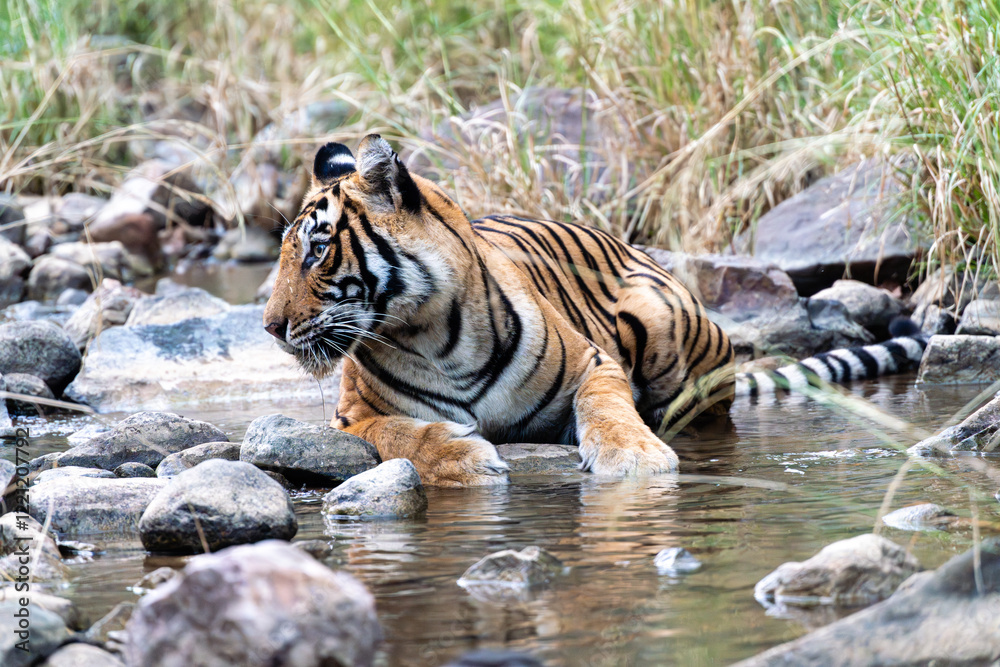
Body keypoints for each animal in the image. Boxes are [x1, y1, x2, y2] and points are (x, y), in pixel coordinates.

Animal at [263, 135, 929, 487]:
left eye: (318, 250)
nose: (270, 327)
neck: (430, 332)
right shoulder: (353, 417)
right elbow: (403, 430)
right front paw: (464, 457)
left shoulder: (594, 362)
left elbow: (608, 409)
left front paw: (633, 457)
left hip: (666, 331)